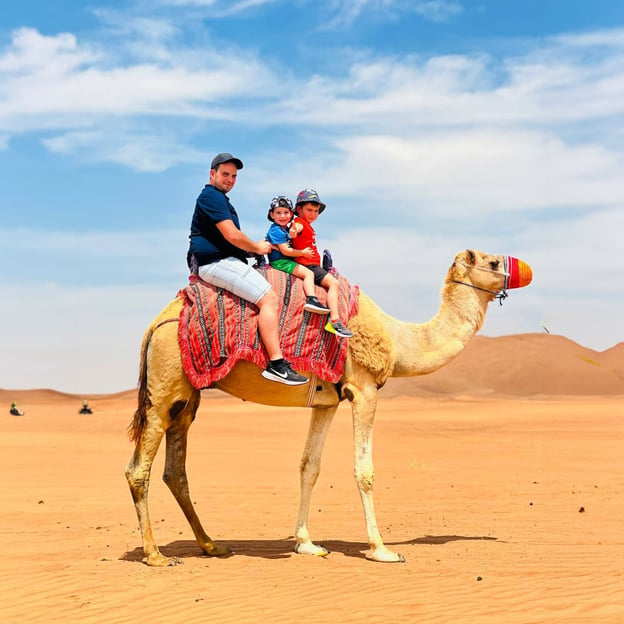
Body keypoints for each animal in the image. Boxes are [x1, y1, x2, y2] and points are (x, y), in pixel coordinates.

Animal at [125, 249, 532, 564]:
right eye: (493, 262)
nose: (524, 269)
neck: (398, 339)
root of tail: (153, 325)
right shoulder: (364, 389)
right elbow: (364, 470)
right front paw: (382, 549)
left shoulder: (326, 401)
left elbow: (309, 467)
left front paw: (307, 544)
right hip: (165, 386)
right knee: (138, 469)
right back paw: (155, 555)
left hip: (187, 398)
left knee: (175, 470)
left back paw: (212, 546)